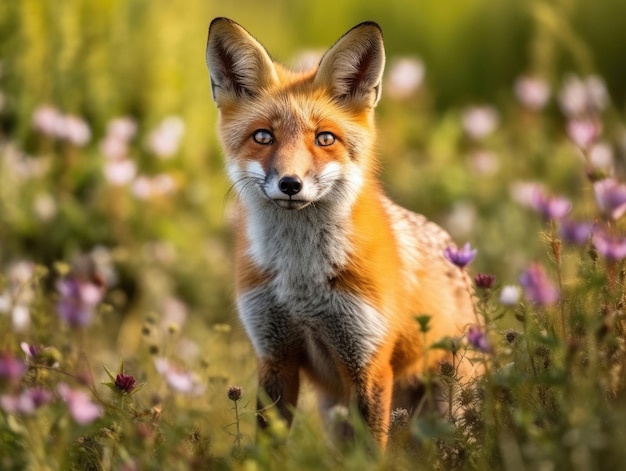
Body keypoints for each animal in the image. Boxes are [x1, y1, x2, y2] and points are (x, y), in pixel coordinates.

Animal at [207, 17, 476, 450]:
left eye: (325, 139)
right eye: (263, 136)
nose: (290, 184)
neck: (302, 285)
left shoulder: (367, 362)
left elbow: (370, 454)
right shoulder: (274, 356)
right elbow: (268, 446)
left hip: (450, 413)